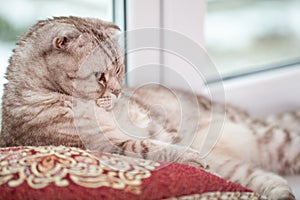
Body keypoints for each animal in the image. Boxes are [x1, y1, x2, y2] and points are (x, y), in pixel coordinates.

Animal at [0, 16, 298, 199]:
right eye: (100, 76)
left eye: (119, 69)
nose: (118, 92)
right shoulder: (104, 146)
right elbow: (147, 147)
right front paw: (190, 157)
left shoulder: (154, 125)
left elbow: (162, 136)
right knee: (268, 179)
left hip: (272, 139)